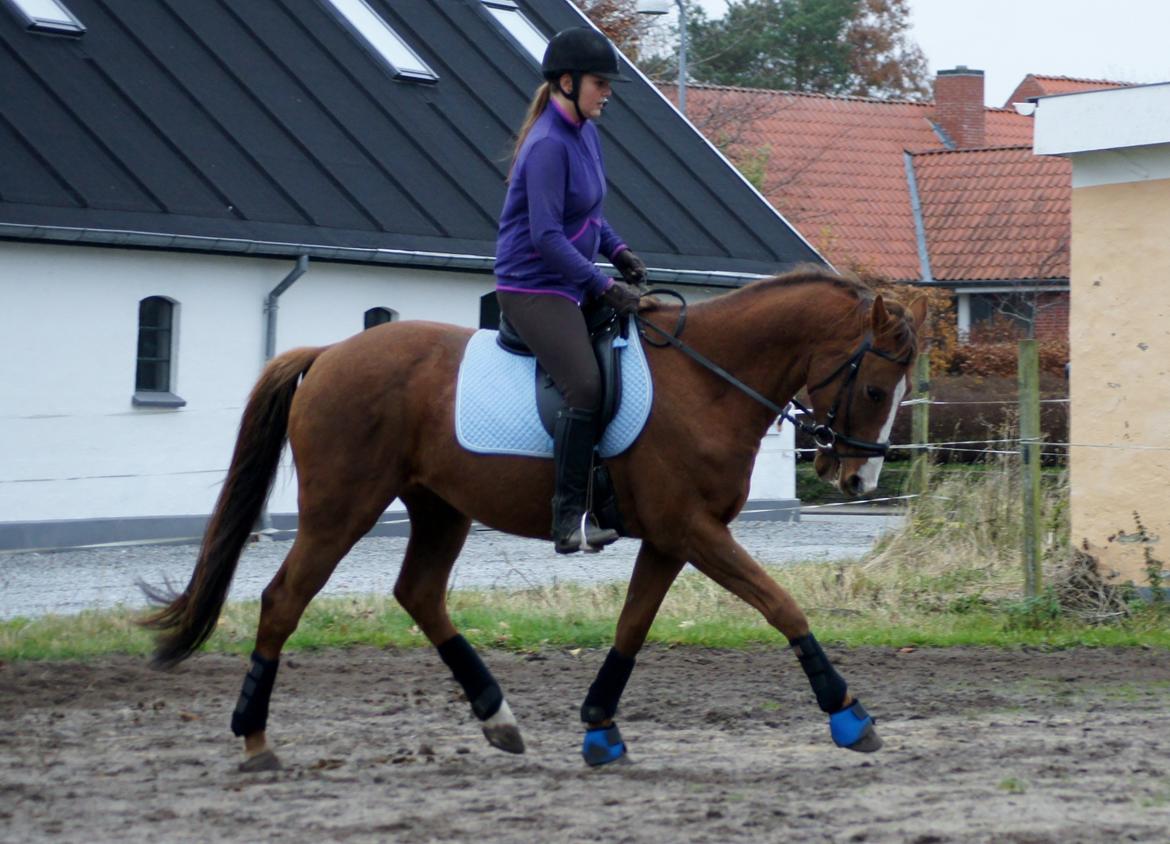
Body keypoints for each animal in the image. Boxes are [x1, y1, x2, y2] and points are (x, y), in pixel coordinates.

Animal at [139, 264, 921, 772]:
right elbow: (781, 603)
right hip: (341, 509)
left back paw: (498, 719)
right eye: (876, 388)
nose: (858, 478)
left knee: (418, 594)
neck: (707, 380)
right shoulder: (694, 531)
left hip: (440, 509)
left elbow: (633, 626)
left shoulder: (672, 539)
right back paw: (255, 739)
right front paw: (849, 713)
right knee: (282, 600)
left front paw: (600, 730)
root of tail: (329, 353)